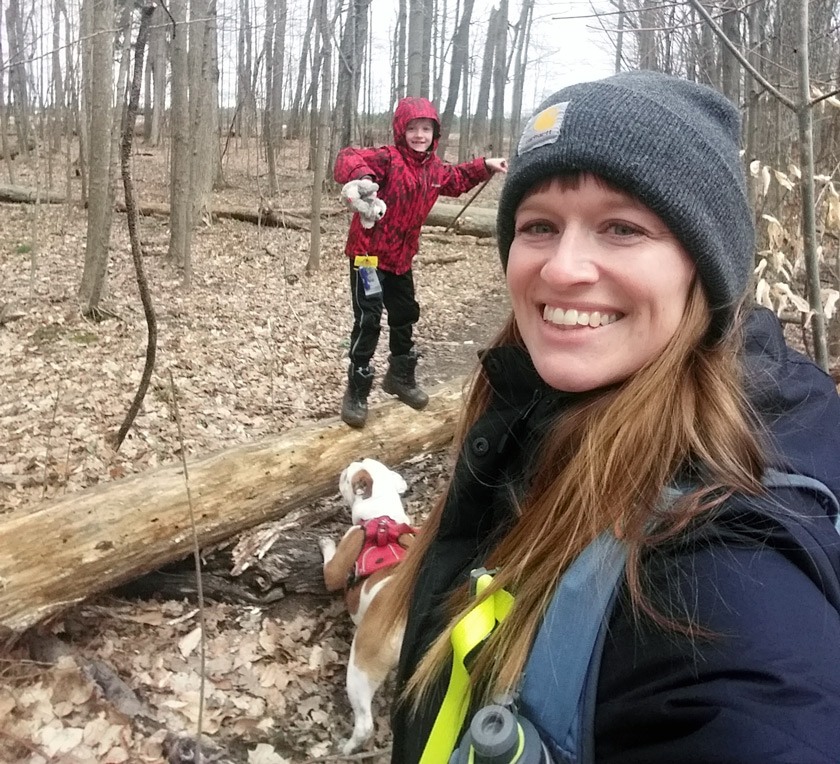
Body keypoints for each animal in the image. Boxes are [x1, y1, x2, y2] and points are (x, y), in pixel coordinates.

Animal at [320, 460, 416, 752]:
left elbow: (330, 568)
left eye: (345, 477)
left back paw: (347, 748)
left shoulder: (347, 548)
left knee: (364, 724)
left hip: (359, 669)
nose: (347, 465)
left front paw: (326, 543)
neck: (382, 514)